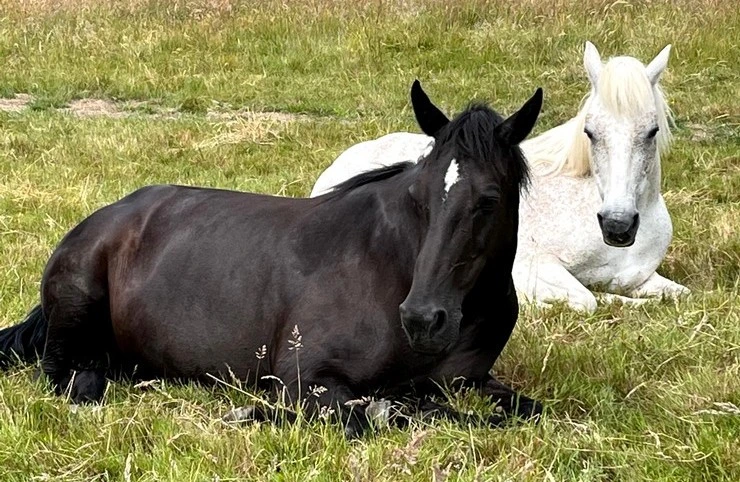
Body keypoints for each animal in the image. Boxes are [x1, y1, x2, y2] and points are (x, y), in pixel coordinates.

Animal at [0, 83, 544, 438]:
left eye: (489, 200)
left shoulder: (470, 381)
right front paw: (252, 413)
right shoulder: (306, 379)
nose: (423, 319)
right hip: (75, 316)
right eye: (418, 195)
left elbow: (522, 410)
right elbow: (372, 415)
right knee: (70, 375)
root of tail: (106, 217)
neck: (393, 267)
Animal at [311, 42, 690, 313]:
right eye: (590, 132)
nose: (617, 225)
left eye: (652, 132)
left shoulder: (642, 277)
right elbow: (586, 300)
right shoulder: (533, 266)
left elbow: (677, 294)